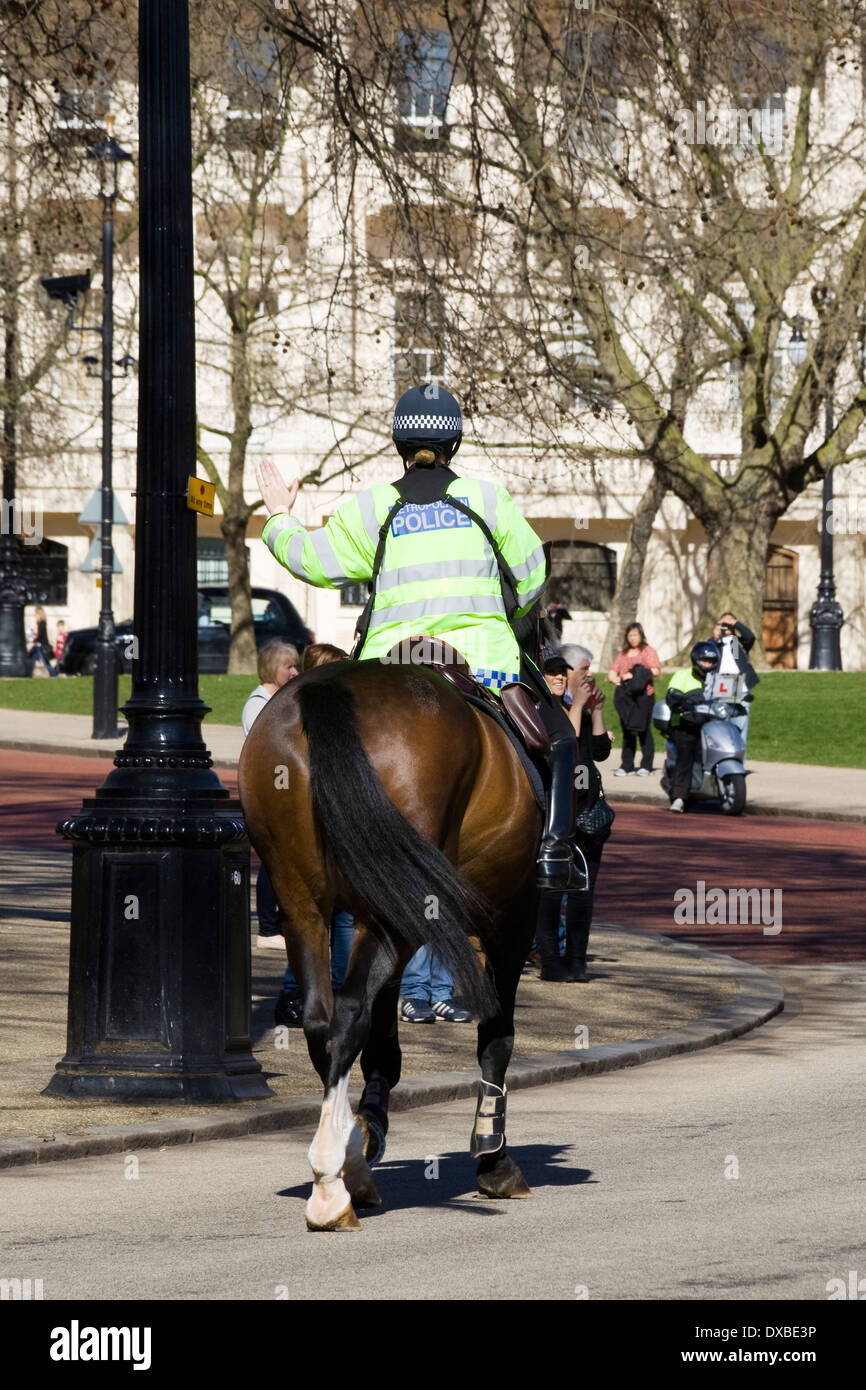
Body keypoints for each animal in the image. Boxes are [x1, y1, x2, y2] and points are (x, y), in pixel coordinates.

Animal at [237, 650, 542, 1228]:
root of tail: (332, 688)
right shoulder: (512, 915)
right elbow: (497, 1036)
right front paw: (493, 1158)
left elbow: (381, 1043)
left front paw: (366, 1129)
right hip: (401, 913)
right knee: (350, 1010)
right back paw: (332, 1182)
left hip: (304, 901)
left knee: (322, 1018)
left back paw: (345, 1164)